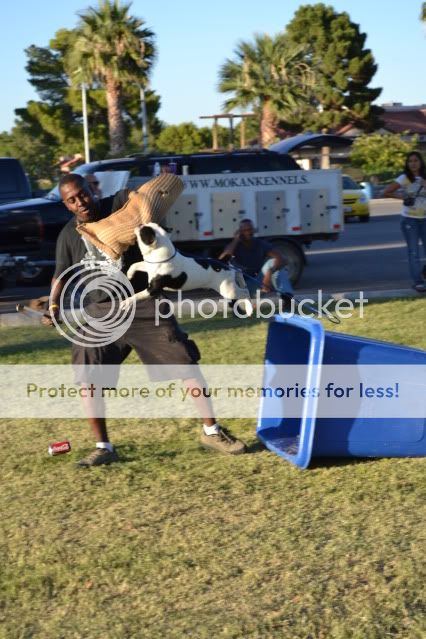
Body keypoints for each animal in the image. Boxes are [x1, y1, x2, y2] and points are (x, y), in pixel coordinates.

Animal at [119, 224, 253, 316]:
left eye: (143, 231)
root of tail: (223, 262)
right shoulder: (148, 266)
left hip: (228, 290)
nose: (139, 224)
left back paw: (249, 308)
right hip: (229, 283)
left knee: (245, 292)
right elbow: (136, 264)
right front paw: (129, 274)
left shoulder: (152, 289)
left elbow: (137, 295)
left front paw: (125, 303)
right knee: (239, 275)